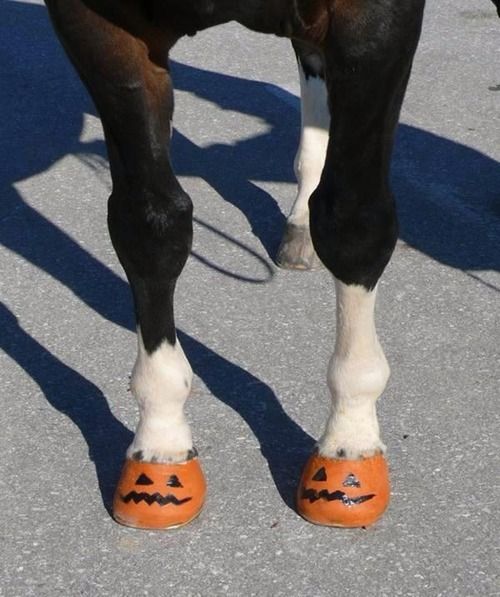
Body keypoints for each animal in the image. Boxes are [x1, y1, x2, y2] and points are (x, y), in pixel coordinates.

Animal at [42, 0, 430, 528]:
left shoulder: (377, 23)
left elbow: (353, 222)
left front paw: (348, 449)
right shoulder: (102, 27)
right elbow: (150, 225)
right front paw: (160, 449)